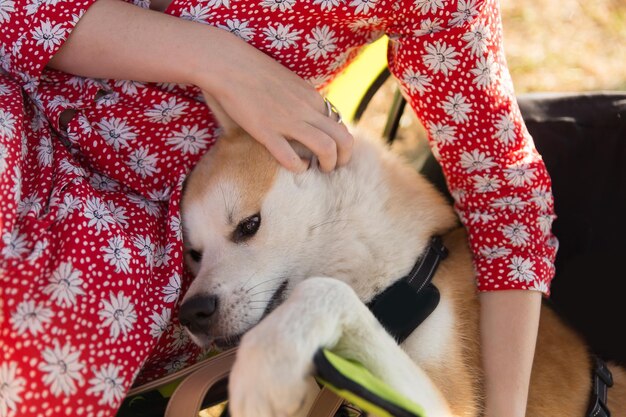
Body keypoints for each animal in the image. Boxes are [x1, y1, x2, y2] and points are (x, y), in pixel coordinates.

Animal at [178, 111, 620, 416]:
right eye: (194, 253)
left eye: (249, 225)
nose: (192, 312)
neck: (402, 274)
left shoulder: (446, 404)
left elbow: (324, 290)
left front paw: (267, 362)